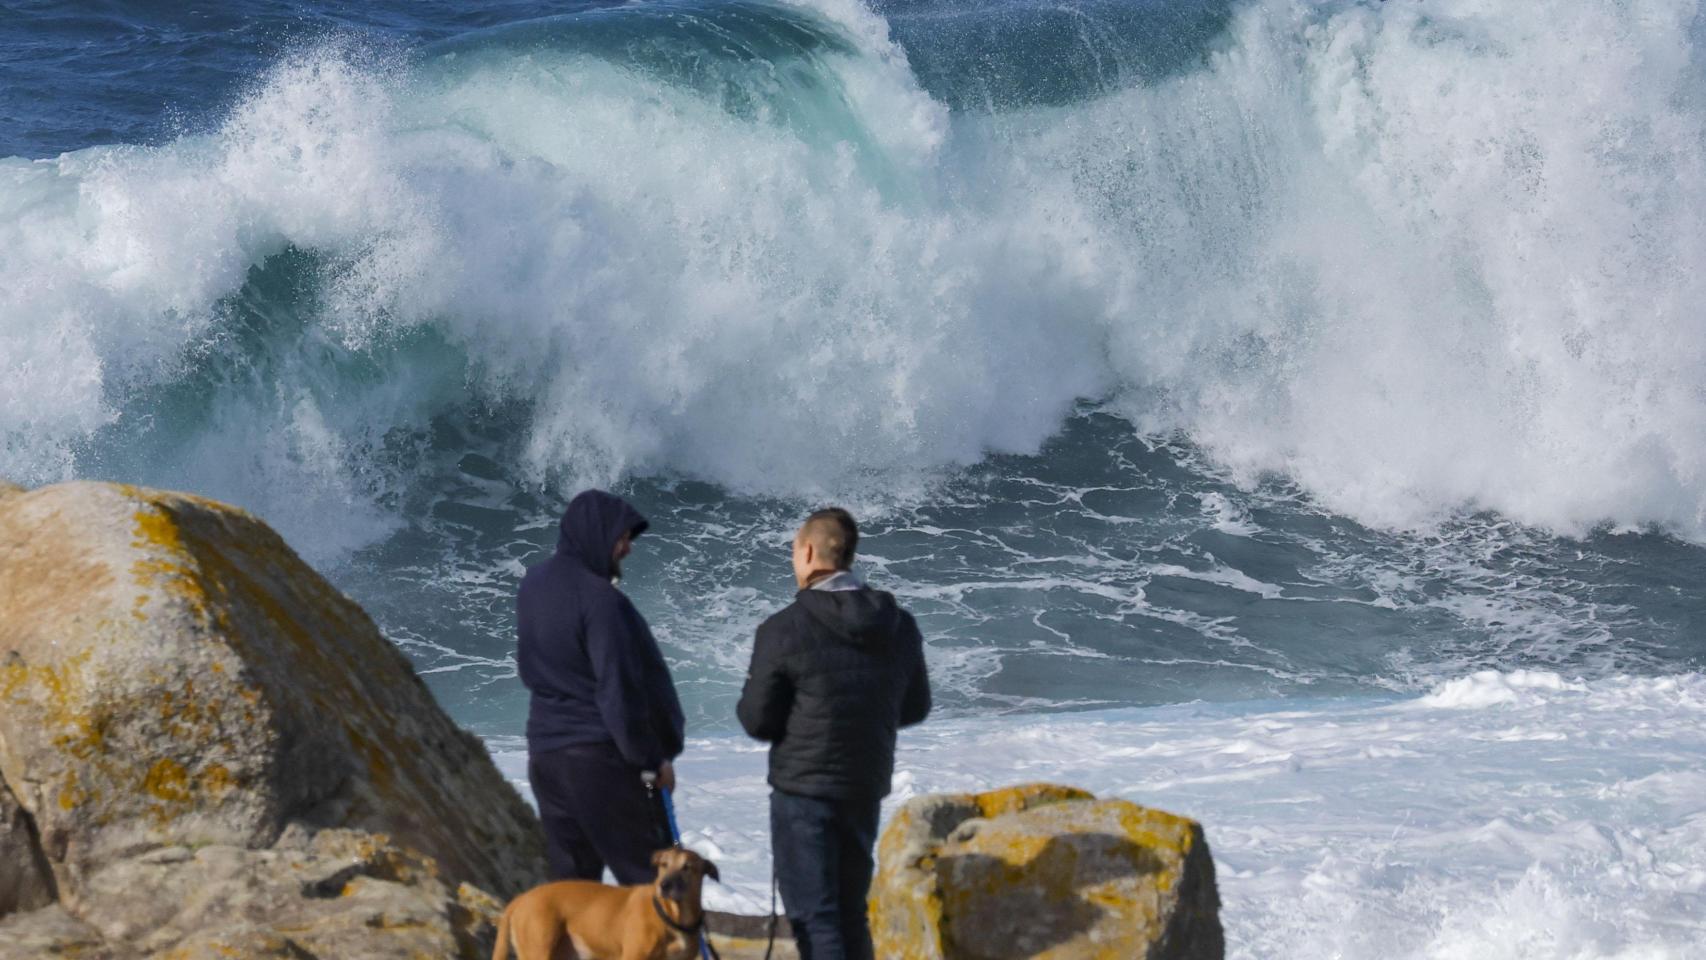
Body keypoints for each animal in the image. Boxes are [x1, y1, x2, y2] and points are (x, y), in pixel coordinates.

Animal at [491, 849, 716, 960]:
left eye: (688, 867)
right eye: (663, 865)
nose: (665, 885)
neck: (671, 916)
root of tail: (521, 898)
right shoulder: (634, 957)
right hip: (538, 950)